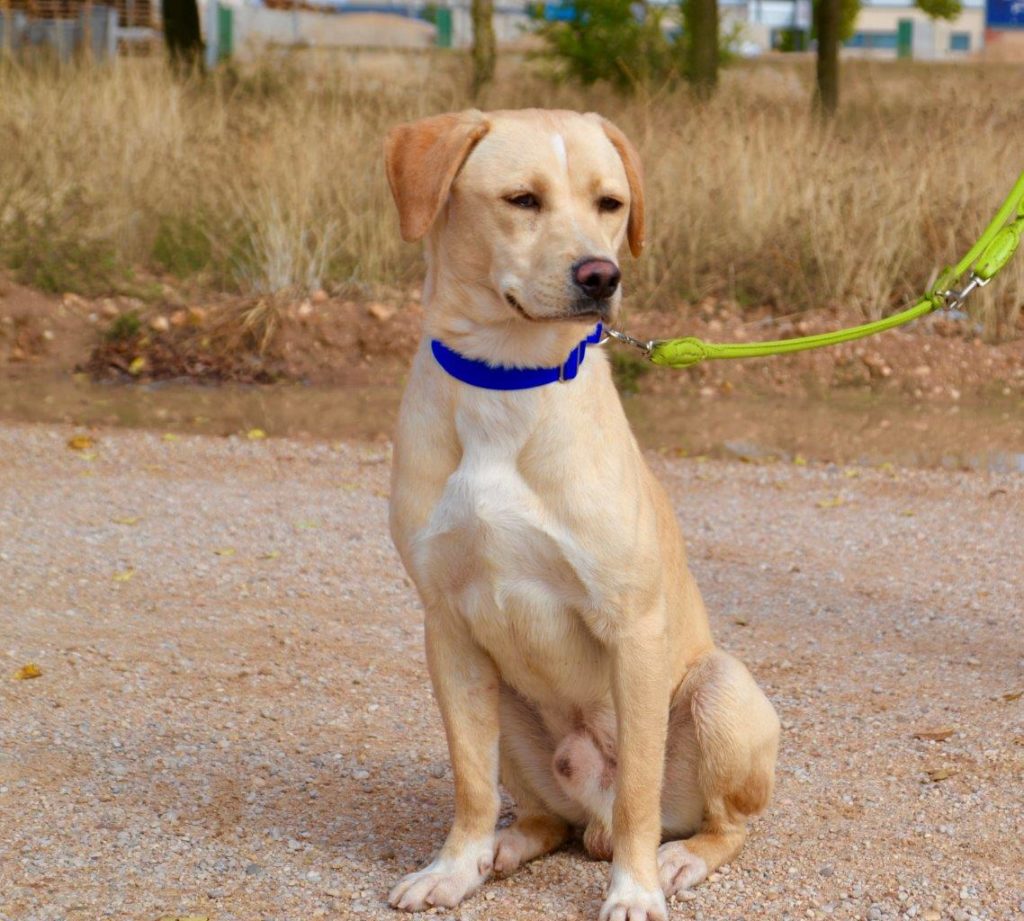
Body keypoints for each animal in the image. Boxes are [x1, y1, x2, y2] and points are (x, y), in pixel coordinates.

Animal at [382, 109, 774, 921]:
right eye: (522, 199)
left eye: (610, 204)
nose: (602, 276)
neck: (508, 380)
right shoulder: (447, 628)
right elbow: (469, 780)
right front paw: (454, 866)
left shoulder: (632, 627)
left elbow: (638, 794)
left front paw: (635, 889)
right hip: (508, 705)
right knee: (544, 817)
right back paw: (502, 849)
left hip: (720, 688)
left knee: (716, 821)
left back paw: (680, 856)